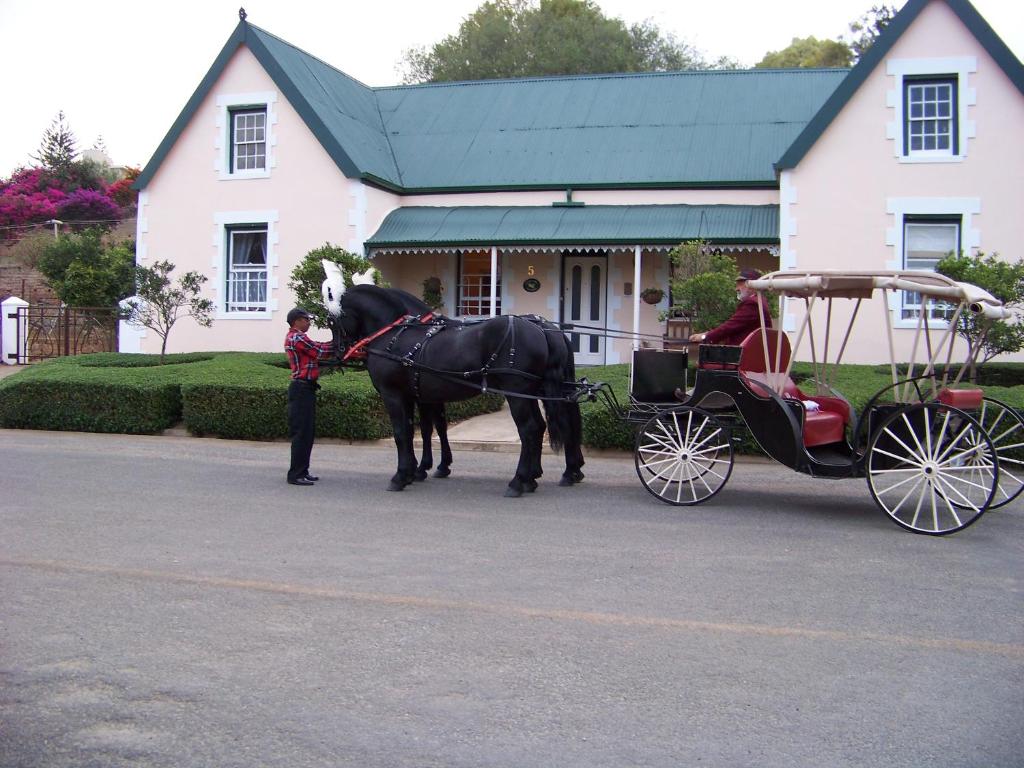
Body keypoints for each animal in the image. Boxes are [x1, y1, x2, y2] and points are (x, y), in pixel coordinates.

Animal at [323, 270, 589, 499]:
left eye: (332, 321)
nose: (337, 352)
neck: (394, 334)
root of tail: (543, 330)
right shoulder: (419, 395)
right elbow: (424, 429)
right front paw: (419, 470)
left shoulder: (394, 395)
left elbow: (404, 433)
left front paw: (403, 475)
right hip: (529, 393)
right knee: (543, 426)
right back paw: (538, 477)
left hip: (517, 394)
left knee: (530, 429)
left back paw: (520, 481)